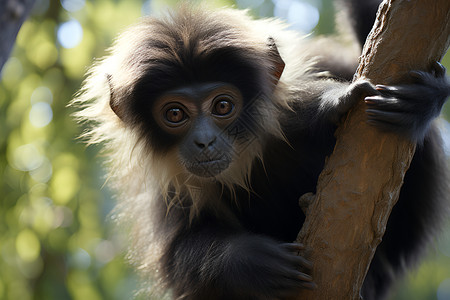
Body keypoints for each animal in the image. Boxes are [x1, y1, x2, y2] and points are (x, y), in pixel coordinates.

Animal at [72, 1, 448, 300]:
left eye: (223, 106)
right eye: (175, 114)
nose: (204, 141)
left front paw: (327, 105)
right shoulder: (169, 191)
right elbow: (178, 254)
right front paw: (250, 261)